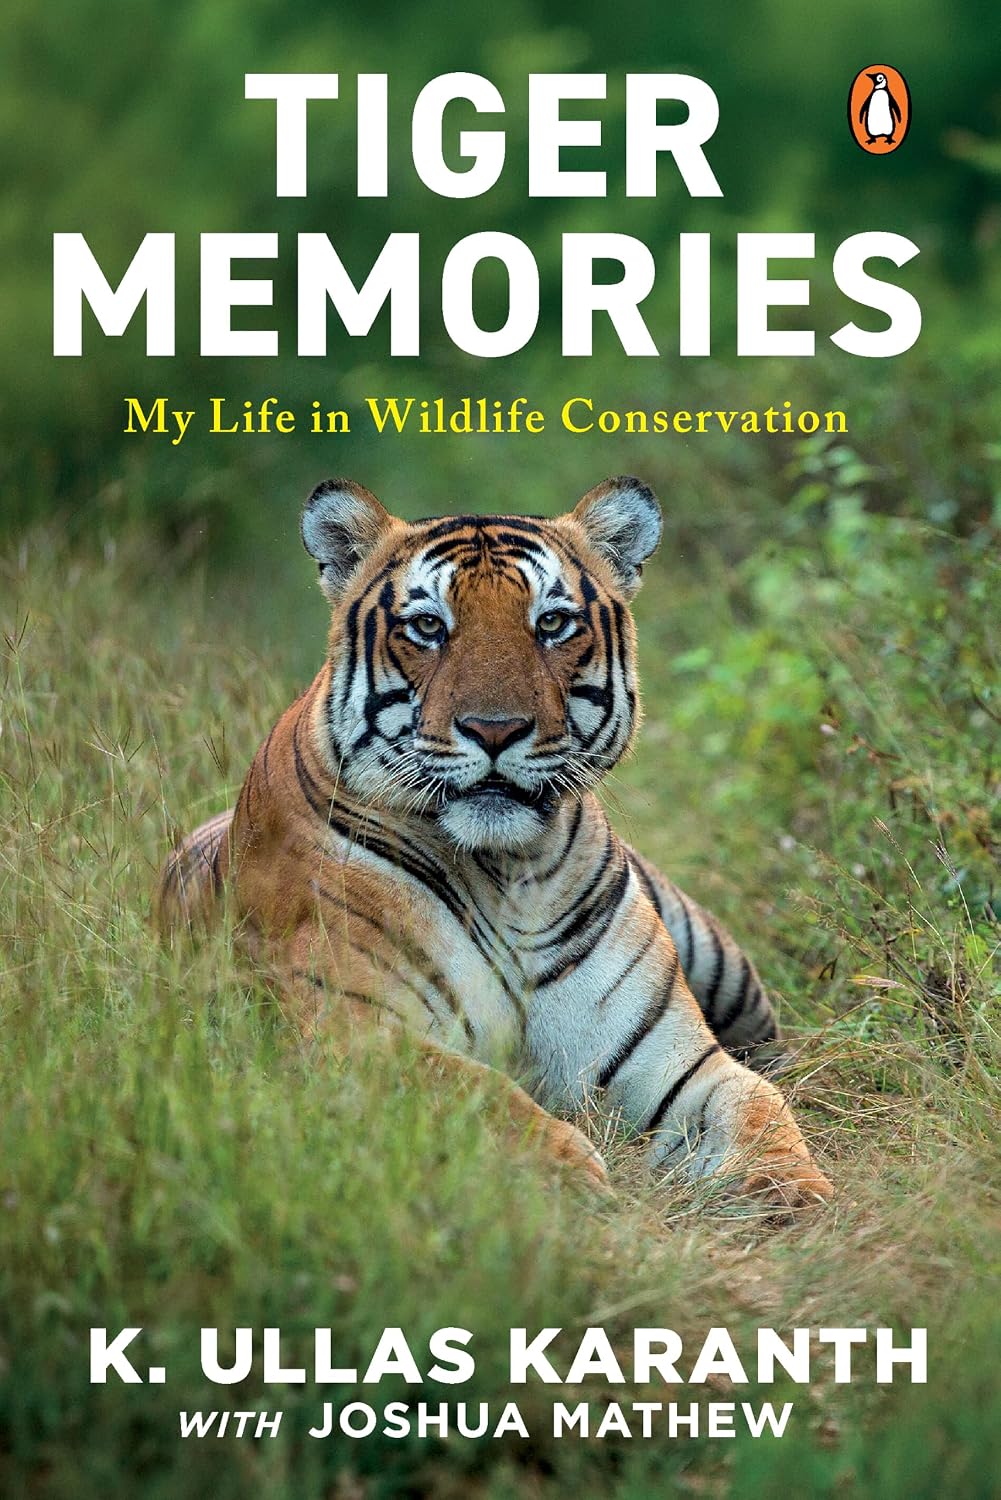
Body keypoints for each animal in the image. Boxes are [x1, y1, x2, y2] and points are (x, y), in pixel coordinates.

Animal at [158, 475, 832, 1206]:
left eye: (551, 623)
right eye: (428, 626)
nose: (494, 729)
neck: (509, 874)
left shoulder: (671, 1057)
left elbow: (756, 1106)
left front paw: (794, 1194)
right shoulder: (352, 1030)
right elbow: (478, 1095)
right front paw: (569, 1183)